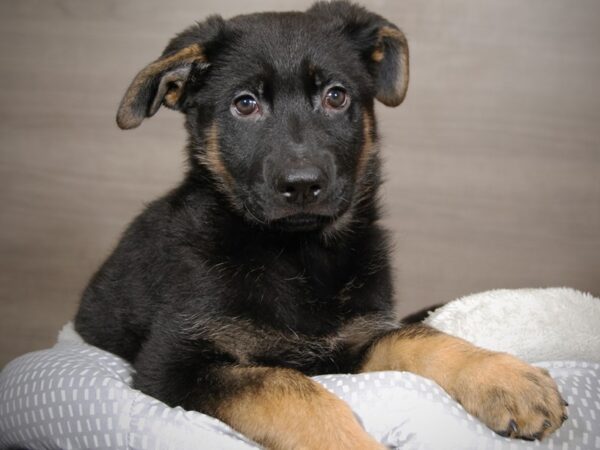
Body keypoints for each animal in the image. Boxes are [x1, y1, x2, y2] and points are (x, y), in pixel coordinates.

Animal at [72, 1, 564, 448]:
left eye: (336, 96)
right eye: (244, 104)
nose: (302, 184)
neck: (299, 255)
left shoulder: (352, 343)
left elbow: (419, 336)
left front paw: (504, 377)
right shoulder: (172, 364)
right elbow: (284, 388)